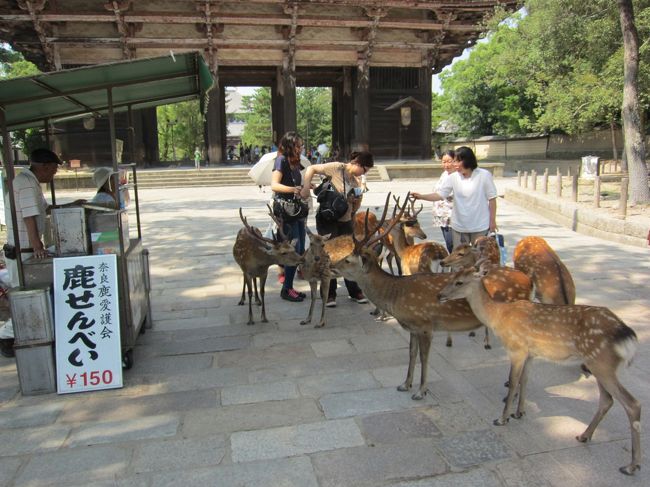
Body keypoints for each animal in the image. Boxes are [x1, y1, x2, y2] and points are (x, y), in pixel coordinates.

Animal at [333, 194, 533, 400]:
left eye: (347, 260)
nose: (331, 266)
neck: (396, 295)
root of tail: (528, 282)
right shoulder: (412, 327)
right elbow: (411, 354)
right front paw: (405, 384)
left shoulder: (425, 324)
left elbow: (424, 357)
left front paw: (421, 391)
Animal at [437, 261, 641, 476]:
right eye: (451, 277)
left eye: (459, 282)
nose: (439, 295)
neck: (498, 316)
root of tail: (628, 335)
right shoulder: (531, 353)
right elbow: (525, 379)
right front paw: (519, 413)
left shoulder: (516, 348)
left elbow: (513, 381)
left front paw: (502, 418)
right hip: (598, 364)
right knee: (607, 400)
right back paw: (584, 435)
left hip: (601, 363)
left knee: (632, 403)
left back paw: (631, 465)